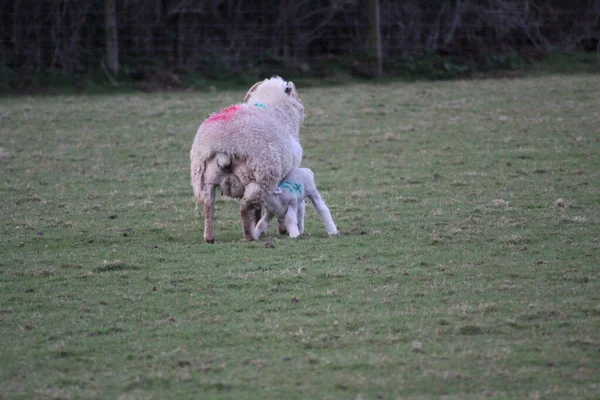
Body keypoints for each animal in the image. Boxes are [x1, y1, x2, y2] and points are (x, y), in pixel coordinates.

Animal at [190, 76, 304, 242]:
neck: (276, 111)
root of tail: (225, 148)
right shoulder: (284, 176)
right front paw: (282, 229)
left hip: (204, 179)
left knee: (208, 205)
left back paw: (210, 237)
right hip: (260, 178)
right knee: (244, 207)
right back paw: (250, 235)